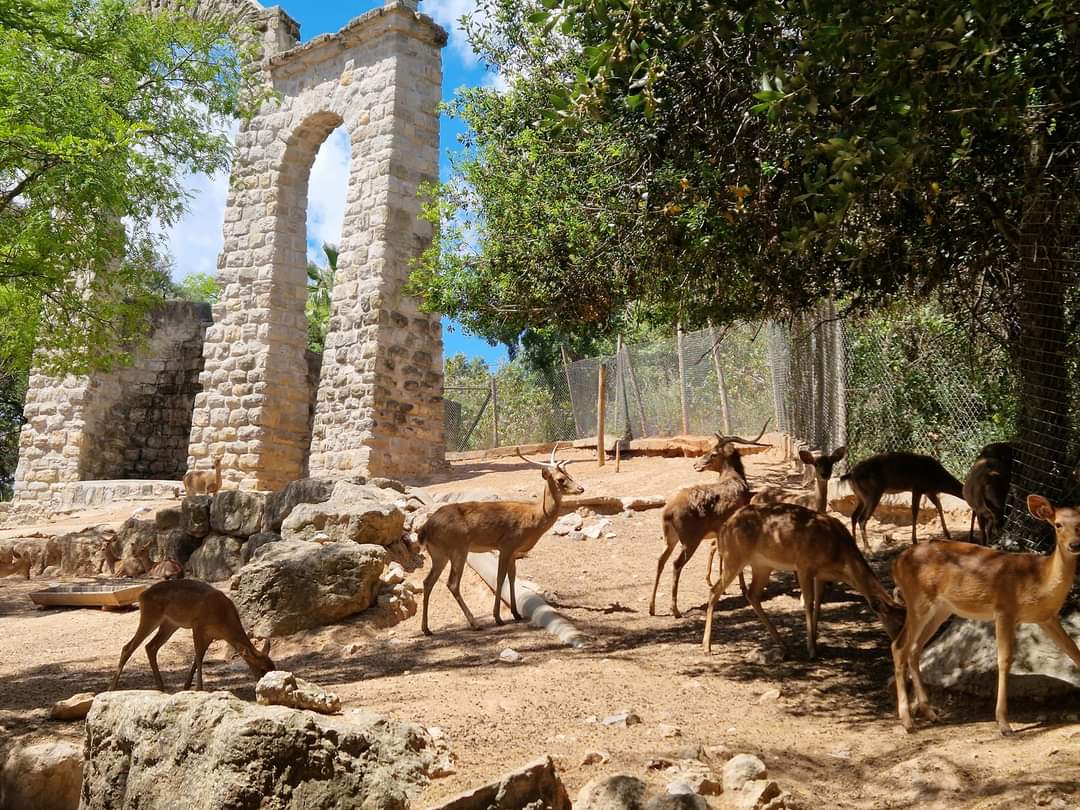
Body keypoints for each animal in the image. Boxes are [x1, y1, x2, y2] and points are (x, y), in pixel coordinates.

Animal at [110, 579, 274, 692]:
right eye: (262, 669)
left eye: (273, 667)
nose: (263, 684)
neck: (223, 619)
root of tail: (142, 595)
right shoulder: (197, 626)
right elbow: (199, 657)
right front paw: (199, 688)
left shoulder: (211, 635)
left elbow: (196, 658)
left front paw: (187, 686)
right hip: (150, 616)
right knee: (128, 647)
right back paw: (112, 687)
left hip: (170, 624)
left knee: (151, 646)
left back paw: (161, 687)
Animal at [418, 444, 584, 635]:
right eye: (560, 479)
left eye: (569, 474)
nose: (581, 489)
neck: (533, 519)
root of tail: (425, 529)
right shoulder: (507, 545)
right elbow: (499, 578)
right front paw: (498, 617)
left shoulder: (514, 551)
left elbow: (512, 577)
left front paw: (516, 613)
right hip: (458, 549)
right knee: (452, 584)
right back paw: (475, 623)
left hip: (439, 553)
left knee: (428, 581)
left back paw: (426, 629)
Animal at [649, 422, 770, 619]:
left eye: (713, 453)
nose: (696, 464)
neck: (738, 481)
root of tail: (668, 511)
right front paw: (742, 588)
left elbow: (720, 552)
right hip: (690, 540)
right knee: (676, 564)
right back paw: (675, 610)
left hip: (670, 538)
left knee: (660, 560)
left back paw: (651, 608)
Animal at [702, 501, 906, 658]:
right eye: (898, 624)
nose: (900, 645)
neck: (838, 553)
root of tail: (723, 528)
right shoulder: (804, 566)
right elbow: (808, 602)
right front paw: (811, 649)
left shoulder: (821, 574)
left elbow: (818, 603)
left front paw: (816, 642)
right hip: (734, 557)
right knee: (714, 591)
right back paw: (707, 647)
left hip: (762, 565)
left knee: (752, 595)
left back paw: (783, 644)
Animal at [891, 494, 1080, 736]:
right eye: (1058, 524)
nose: (1074, 545)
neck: (1038, 580)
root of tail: (896, 563)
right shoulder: (1004, 609)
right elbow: (1004, 659)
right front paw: (1004, 723)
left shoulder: (1046, 617)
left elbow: (1073, 650)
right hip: (917, 601)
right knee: (899, 646)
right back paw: (907, 721)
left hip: (940, 608)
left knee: (914, 648)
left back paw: (930, 712)